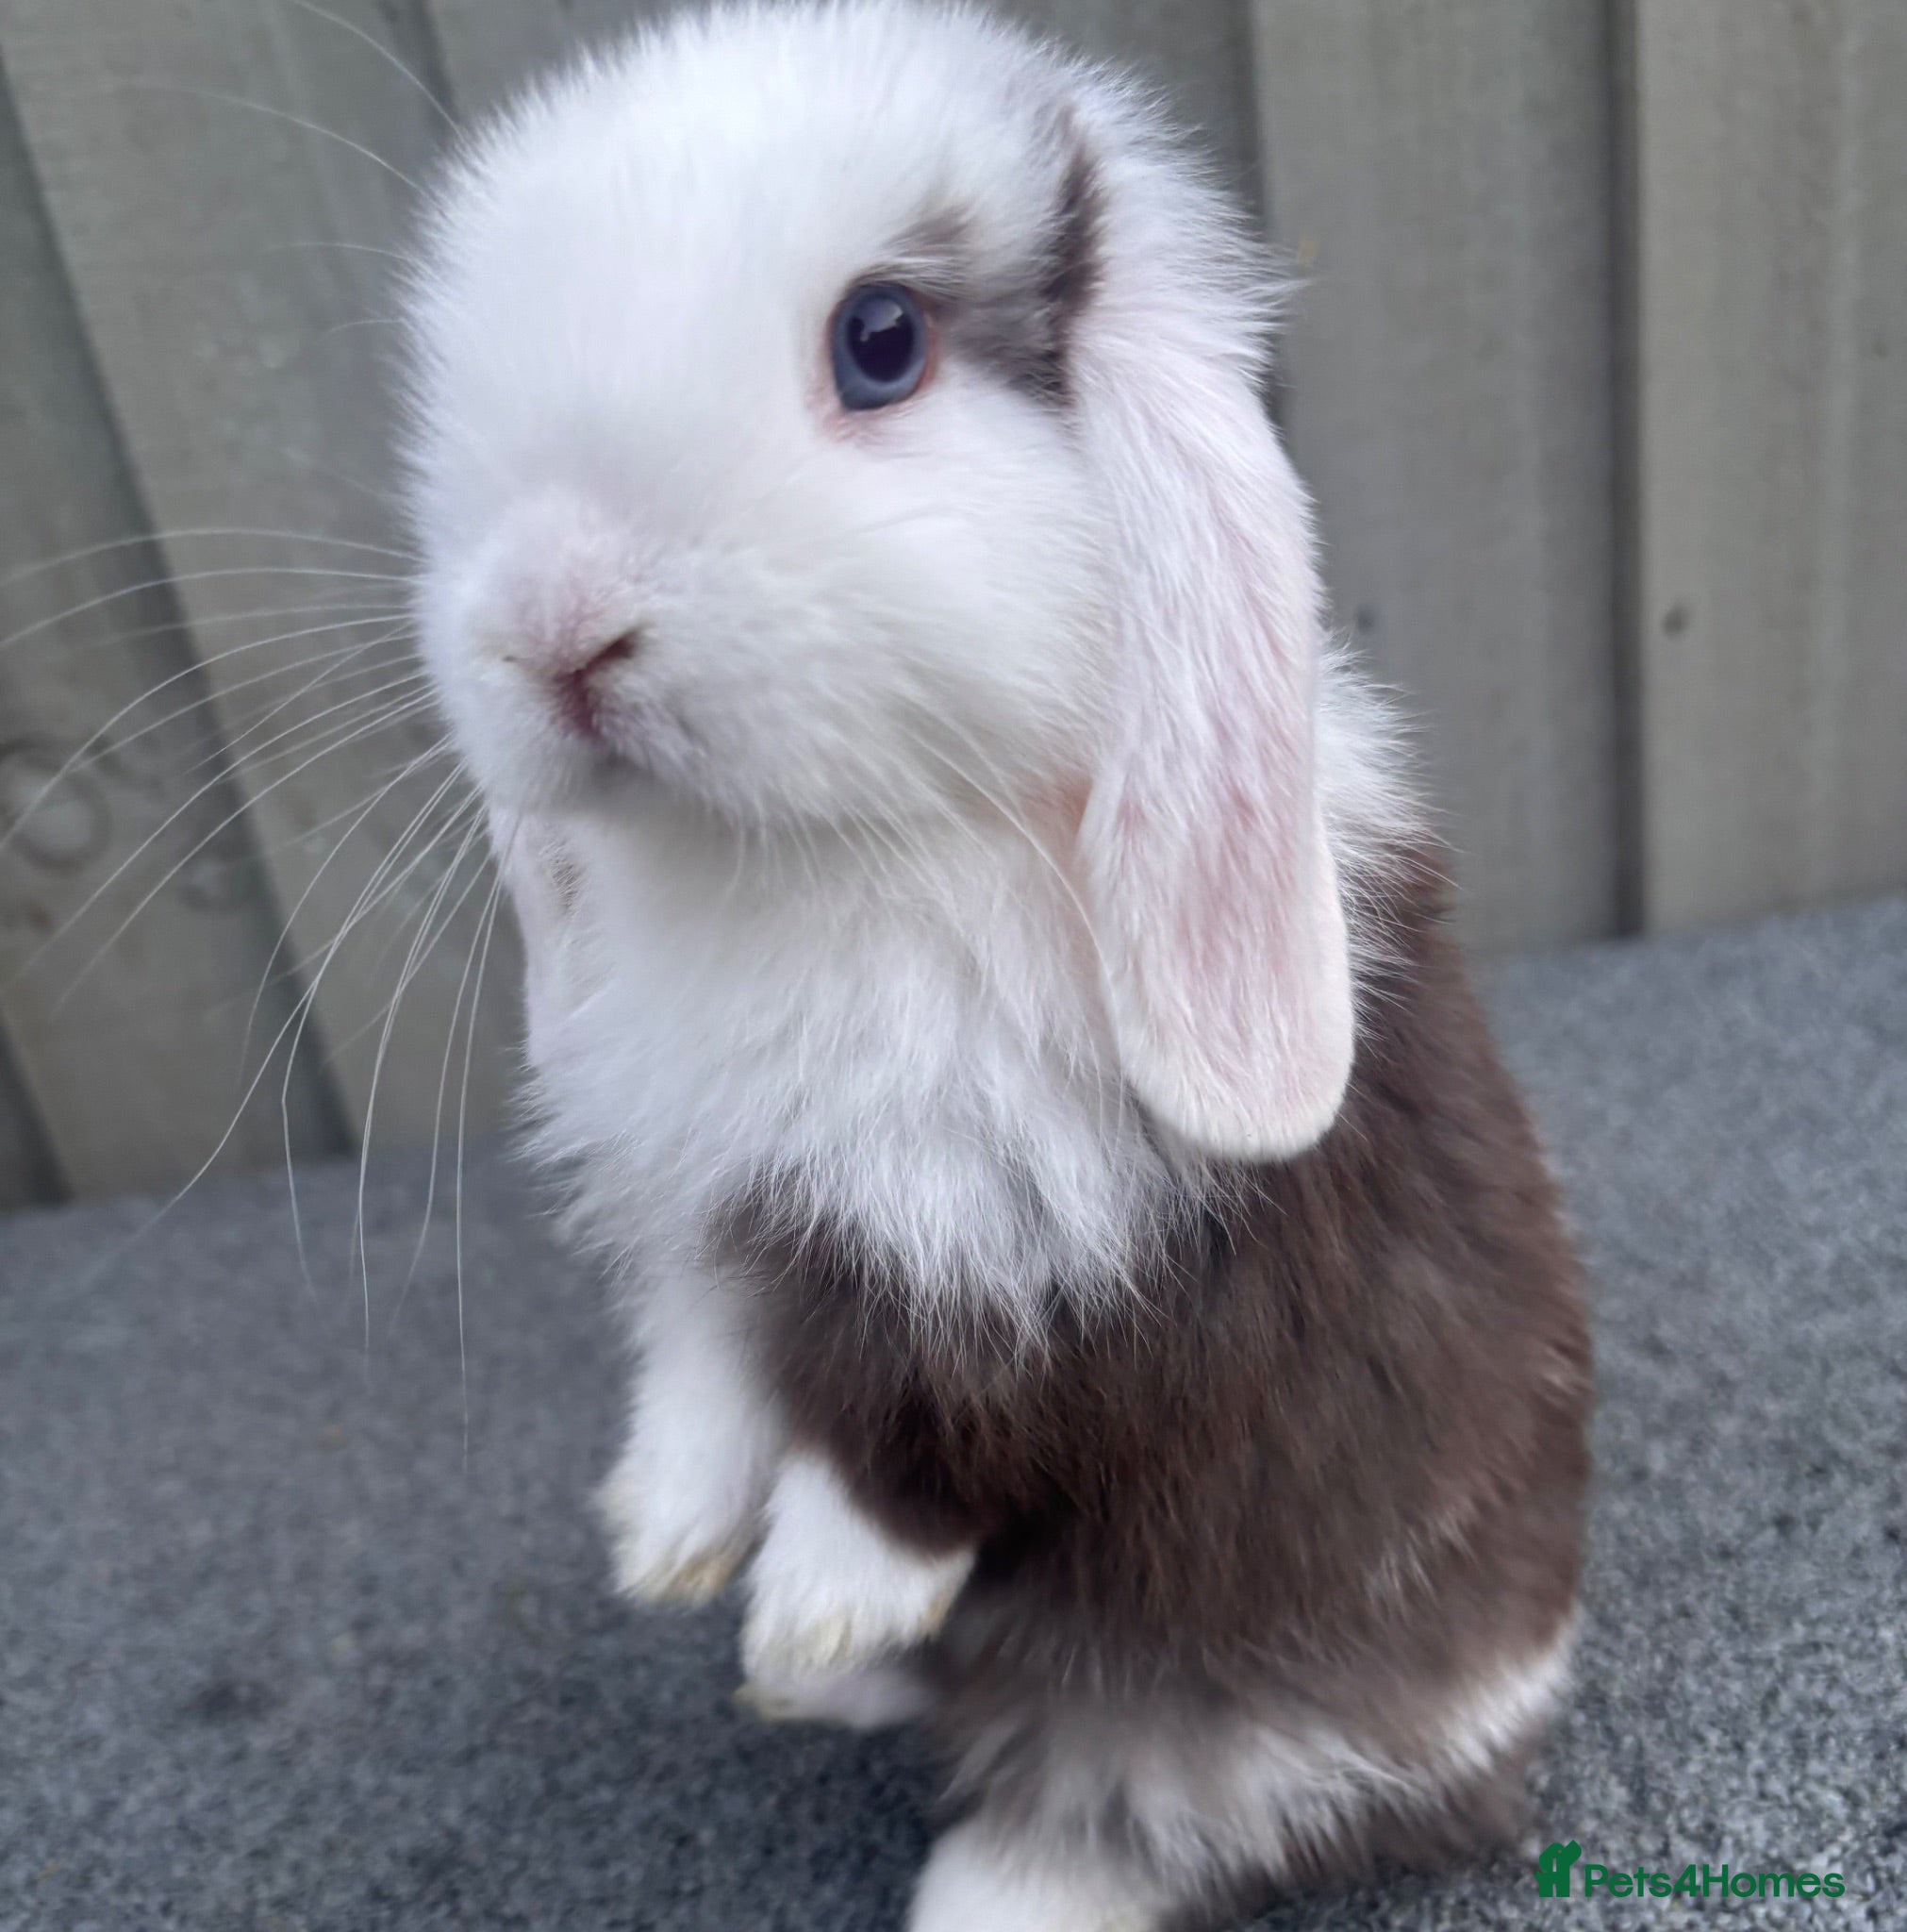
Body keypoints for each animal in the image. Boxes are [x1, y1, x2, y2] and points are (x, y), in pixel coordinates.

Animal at [403, 3, 1592, 1926]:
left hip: (1221, 1726)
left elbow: (925, 1447)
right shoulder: (711, 1214)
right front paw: (664, 1544)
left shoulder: (1033, 1279)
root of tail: (1499, 1752)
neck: (812, 858)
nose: (553, 627)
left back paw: (924, 1798)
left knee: (1122, 1814)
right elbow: (710, 1367)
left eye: (881, 340)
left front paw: (813, 1604)